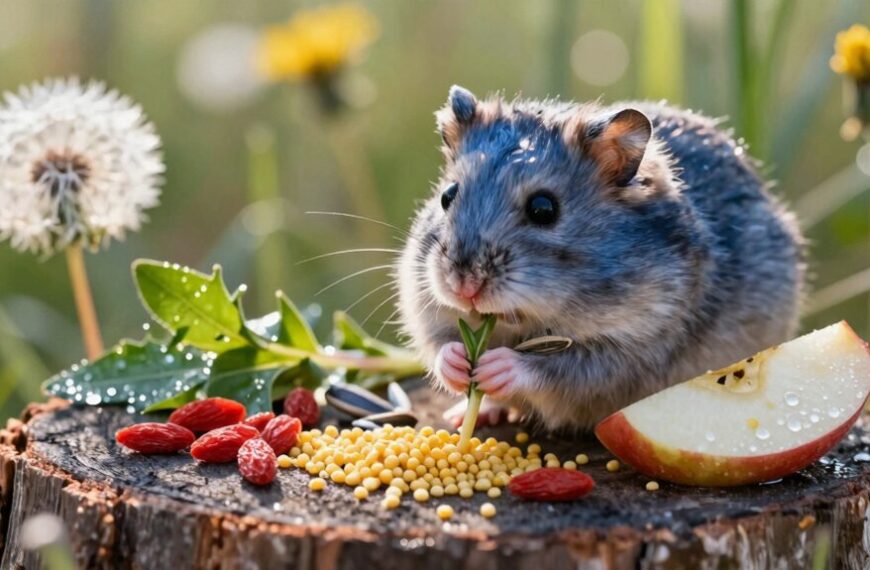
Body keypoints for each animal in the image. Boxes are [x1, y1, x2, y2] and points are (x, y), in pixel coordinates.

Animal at [397, 85, 804, 431]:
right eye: (447, 195)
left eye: (543, 208)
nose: (463, 286)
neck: (520, 321)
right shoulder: (428, 312)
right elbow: (439, 346)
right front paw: (456, 362)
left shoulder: (631, 351)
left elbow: (556, 369)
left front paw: (497, 366)